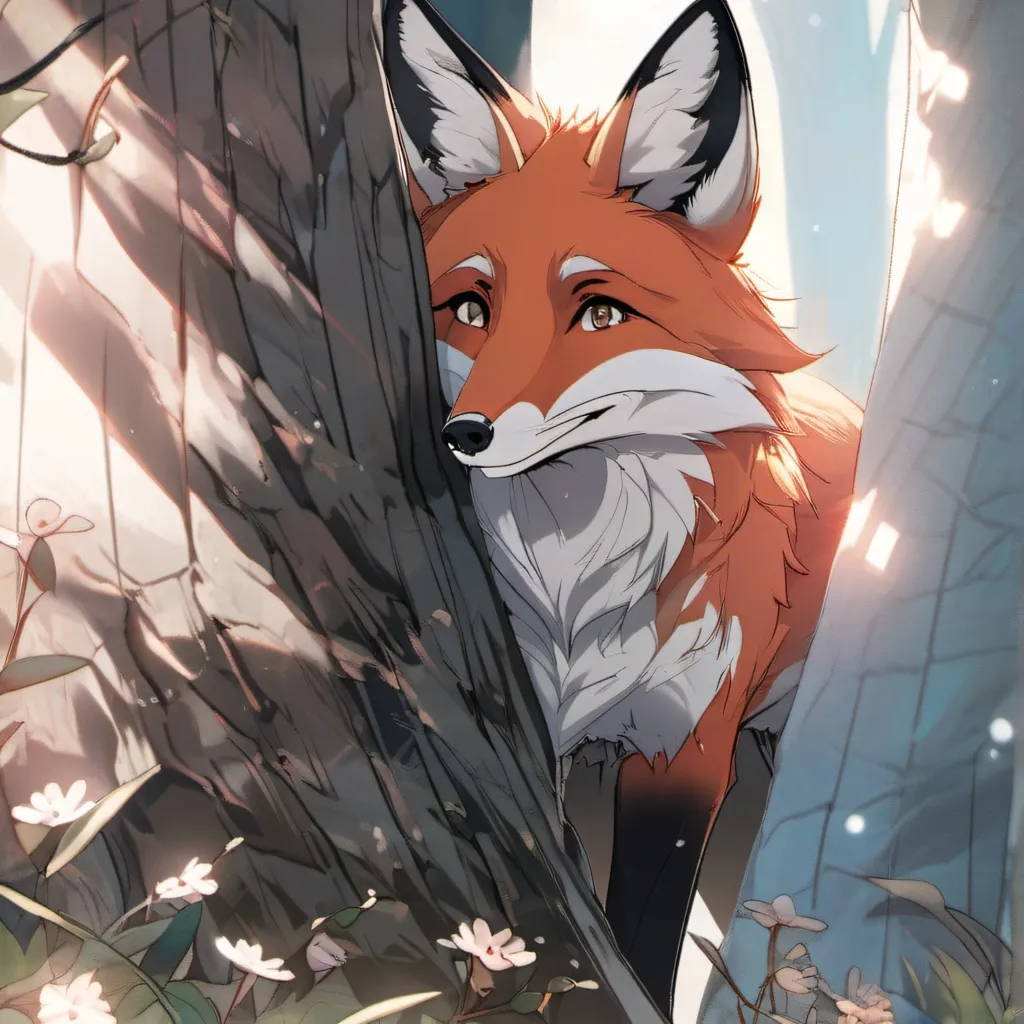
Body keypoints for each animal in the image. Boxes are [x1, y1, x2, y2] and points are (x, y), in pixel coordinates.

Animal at [383, 0, 862, 1015]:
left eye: (599, 314)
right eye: (470, 309)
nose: (463, 433)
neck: (576, 588)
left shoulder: (685, 752)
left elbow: (641, 943)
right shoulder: (542, 743)